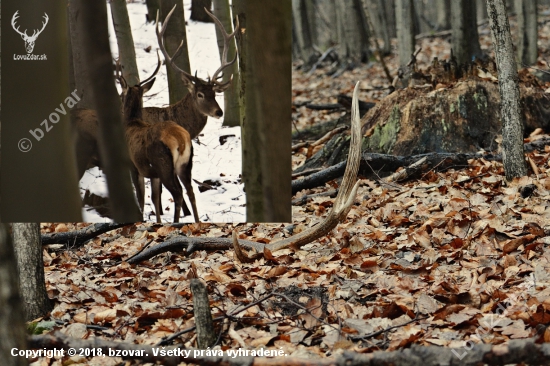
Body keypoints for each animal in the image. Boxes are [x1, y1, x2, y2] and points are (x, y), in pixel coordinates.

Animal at [118, 60, 201, 223]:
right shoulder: (154, 174)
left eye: (122, 95)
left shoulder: (135, 167)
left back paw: (176, 222)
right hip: (184, 164)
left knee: (178, 193)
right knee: (190, 191)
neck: (132, 123)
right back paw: (197, 221)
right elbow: (155, 198)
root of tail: (181, 140)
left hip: (164, 164)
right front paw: (158, 221)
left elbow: (141, 197)